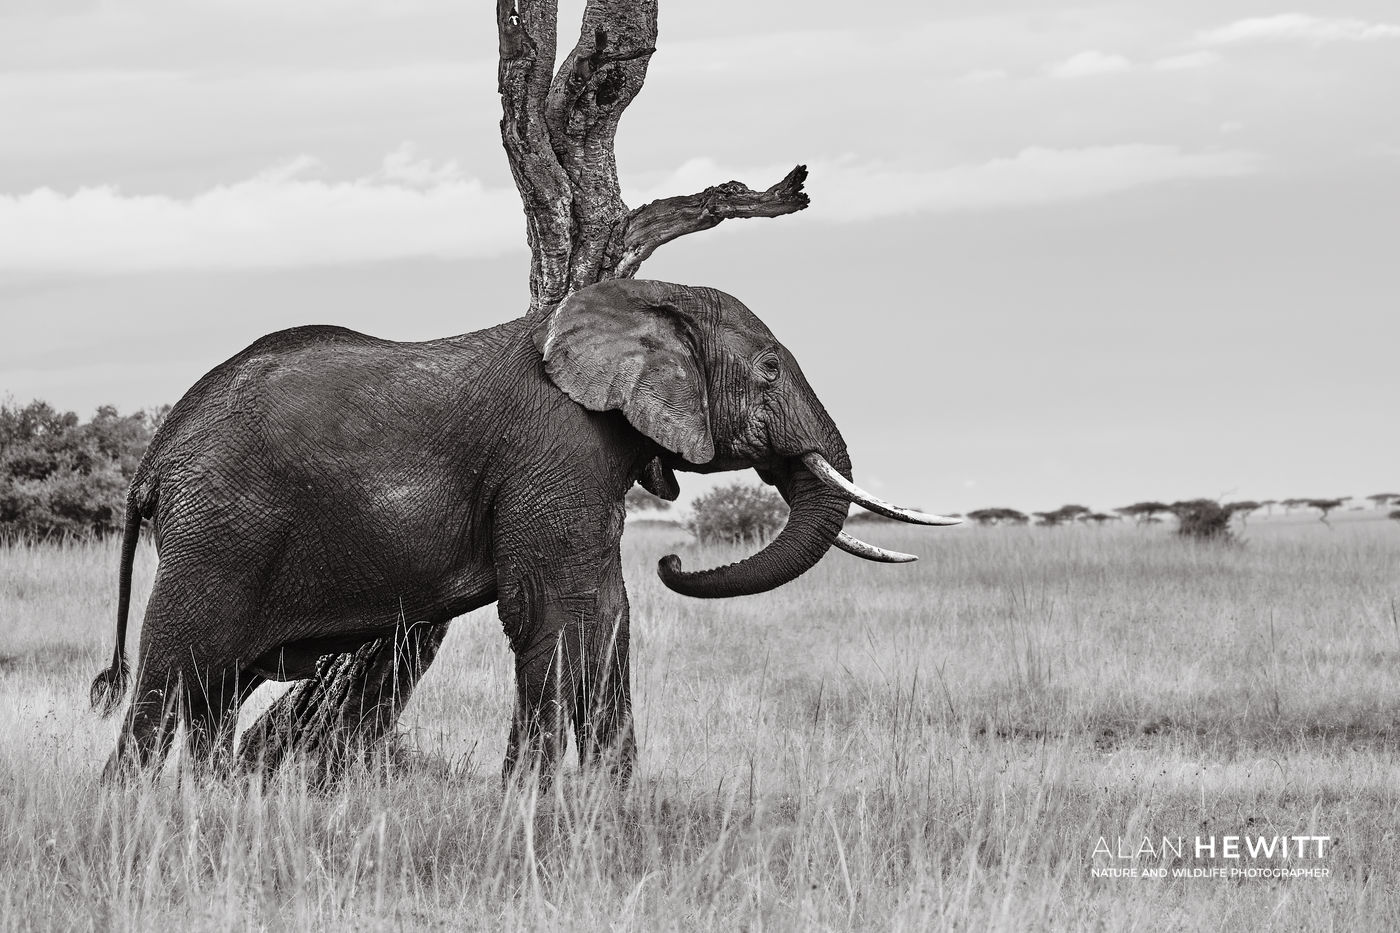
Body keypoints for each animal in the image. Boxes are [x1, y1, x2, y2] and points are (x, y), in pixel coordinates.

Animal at [89, 278, 957, 782]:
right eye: (772, 369)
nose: (676, 558)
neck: (641, 298)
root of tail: (156, 455)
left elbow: (608, 616)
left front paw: (608, 802)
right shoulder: (558, 445)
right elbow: (551, 615)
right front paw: (527, 801)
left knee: (214, 687)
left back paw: (210, 804)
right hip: (220, 533)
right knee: (173, 670)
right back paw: (131, 808)